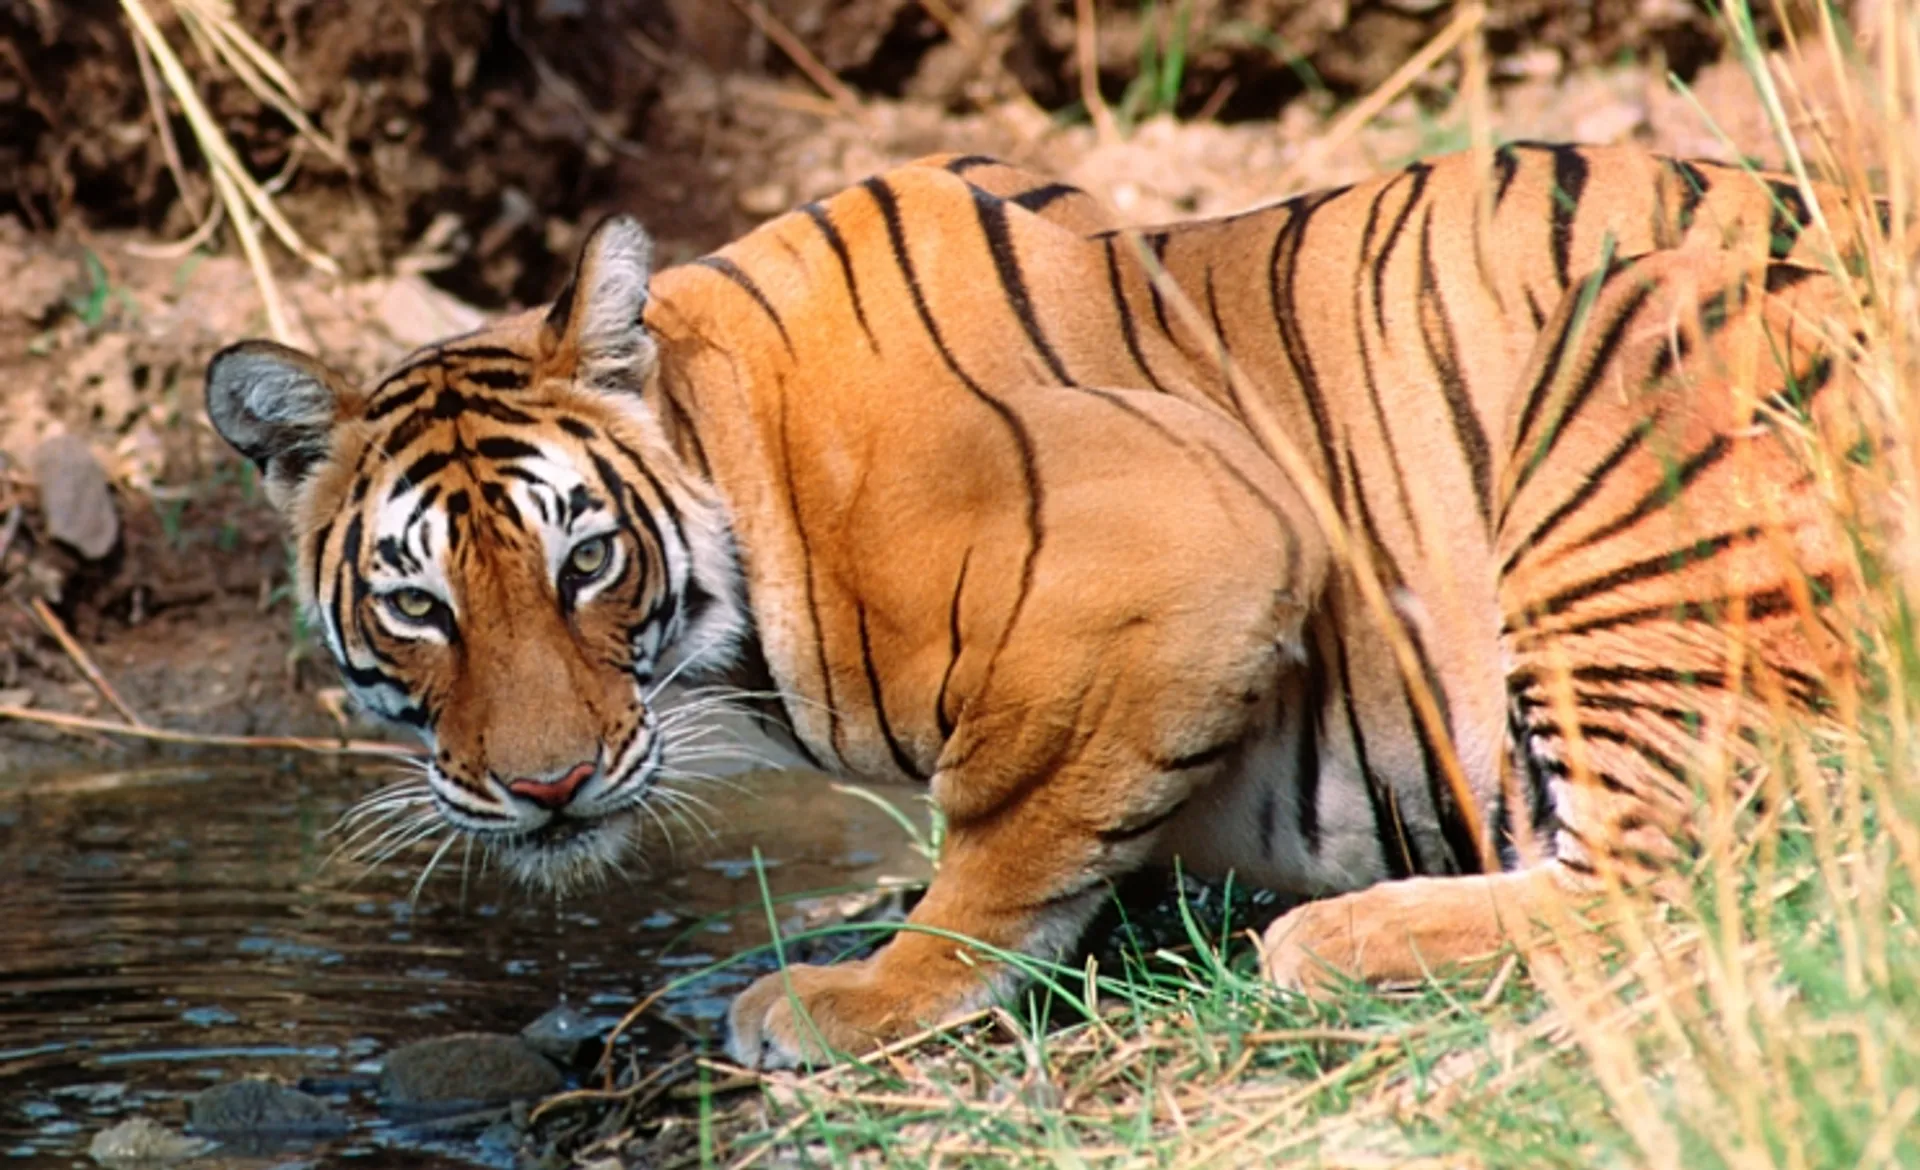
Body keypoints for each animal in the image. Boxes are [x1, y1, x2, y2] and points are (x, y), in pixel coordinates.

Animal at [204, 141, 1878, 1069]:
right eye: (420, 605)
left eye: (585, 562)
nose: (546, 785)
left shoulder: (1197, 546)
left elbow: (1003, 829)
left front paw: (862, 994)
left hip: (1638, 341)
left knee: (1690, 874)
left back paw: (1325, 940)